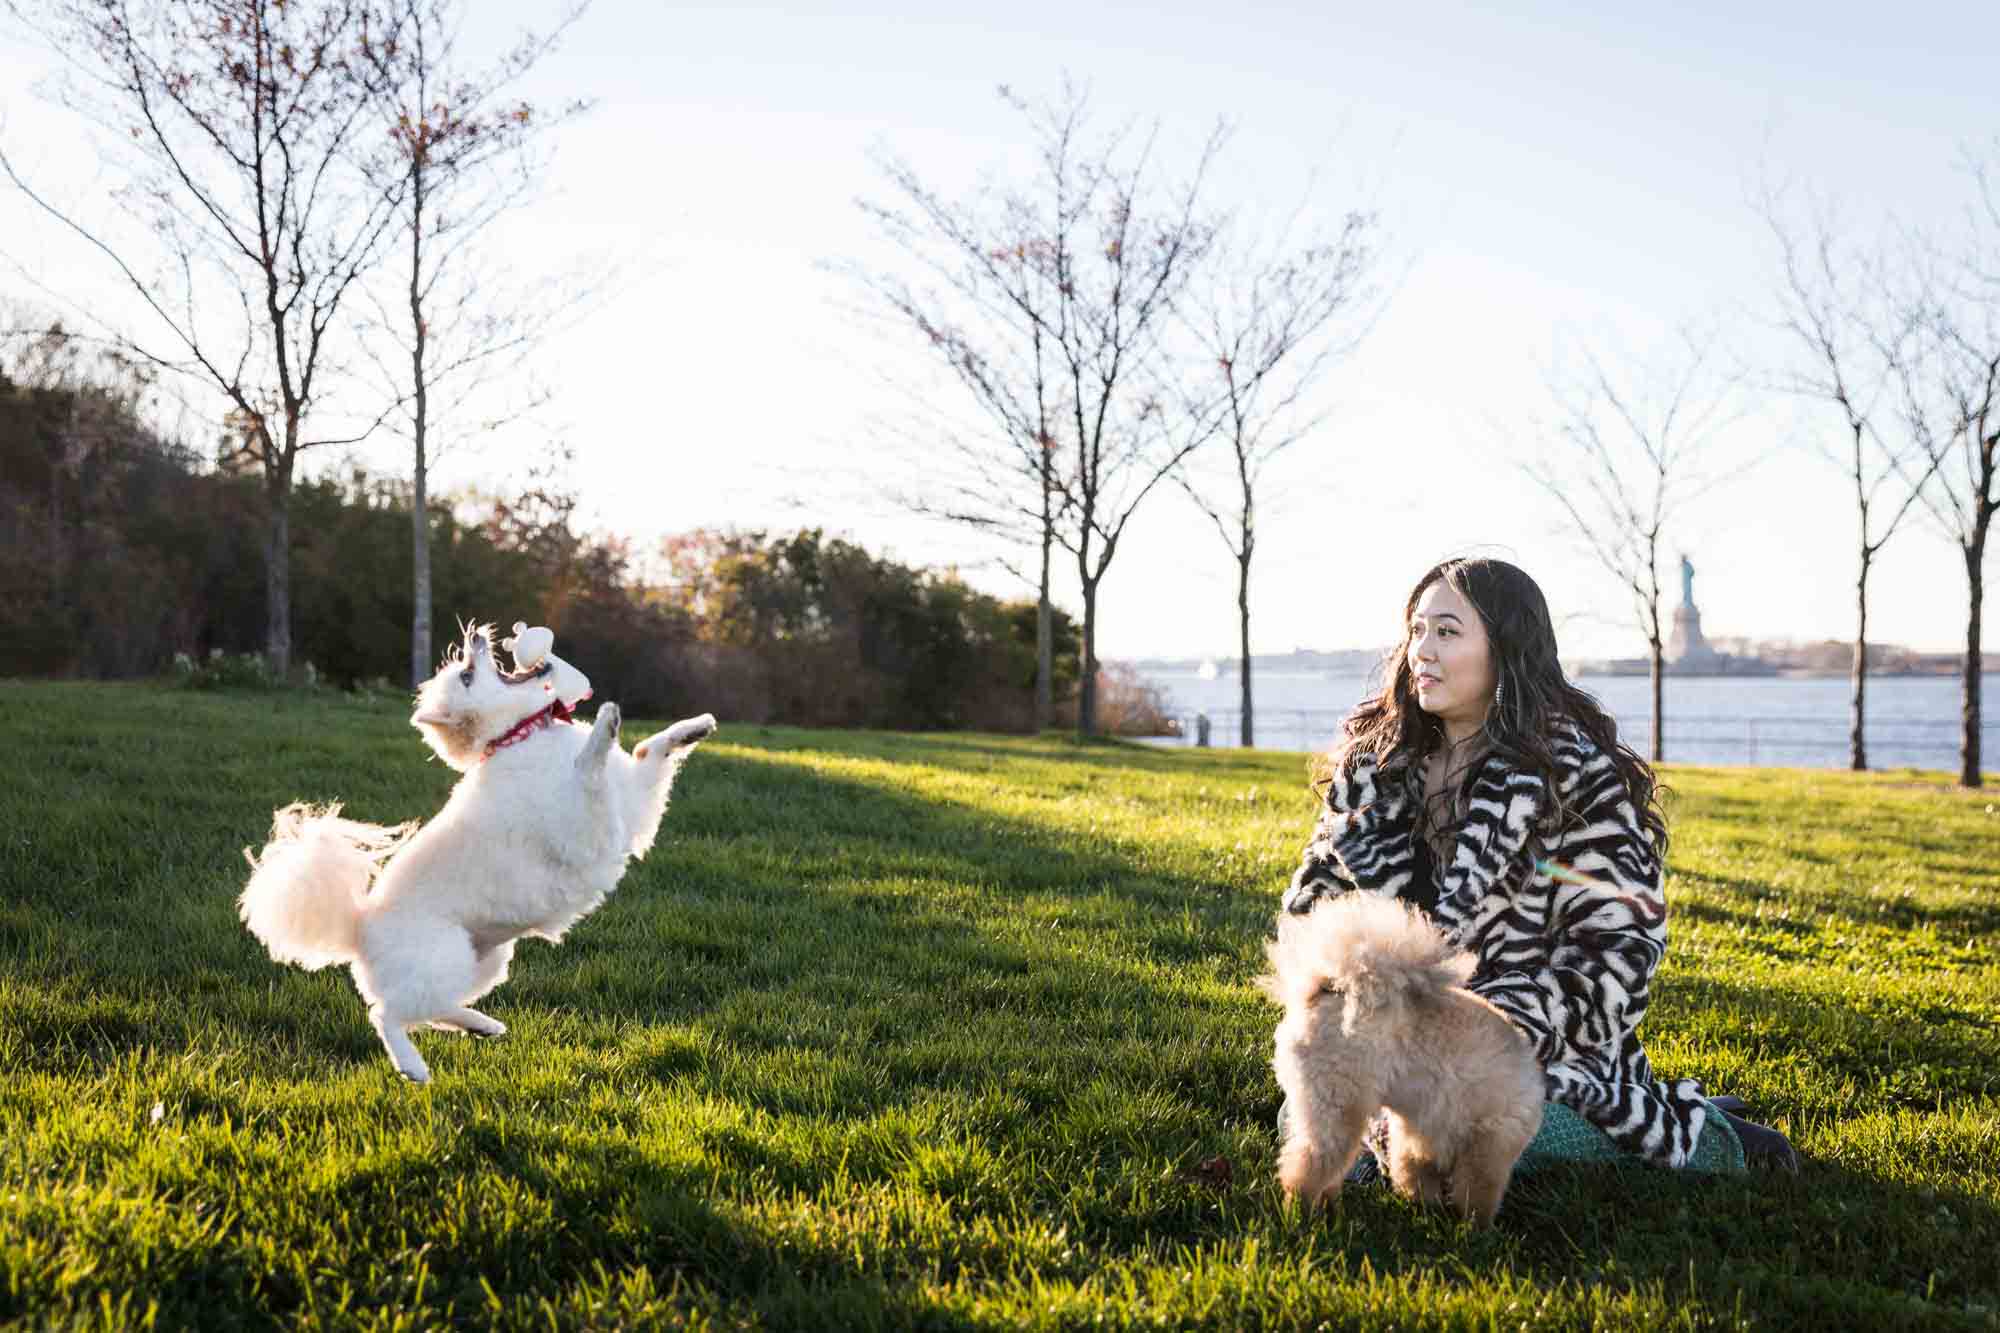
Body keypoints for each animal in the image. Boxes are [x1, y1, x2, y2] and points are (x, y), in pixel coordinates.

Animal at [240, 624, 720, 1080]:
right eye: (468, 675)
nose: (475, 637)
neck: (519, 736)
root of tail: (357, 927)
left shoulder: (633, 812)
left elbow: (650, 747)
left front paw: (693, 727)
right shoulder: (584, 831)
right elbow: (590, 765)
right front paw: (605, 725)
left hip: (486, 963)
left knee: (430, 1011)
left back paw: (480, 1025)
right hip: (445, 958)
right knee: (386, 1014)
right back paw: (412, 1065)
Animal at [1264, 892, 1544, 1224]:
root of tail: (1329, 990)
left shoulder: (1418, 1133)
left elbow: (1415, 1175)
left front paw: (1426, 1210)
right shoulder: (1489, 1145)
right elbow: (1478, 1194)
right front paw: (1478, 1229)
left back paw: (1328, 1210)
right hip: (1338, 1107)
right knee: (1307, 1167)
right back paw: (1300, 1214)